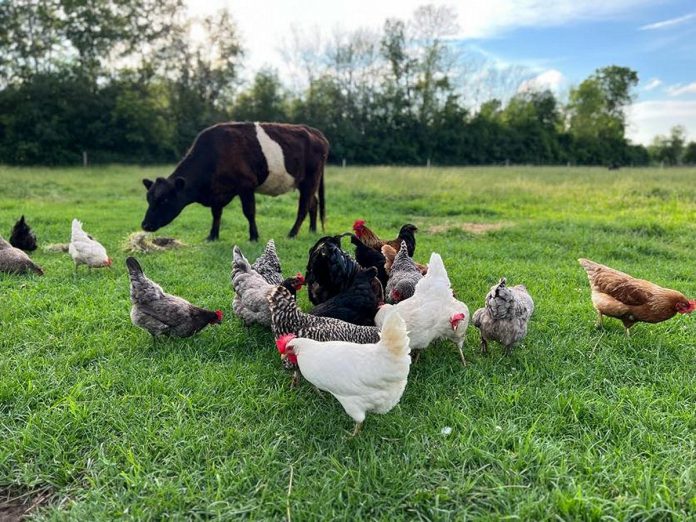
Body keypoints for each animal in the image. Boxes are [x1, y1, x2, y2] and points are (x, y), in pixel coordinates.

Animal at [140, 123, 330, 241]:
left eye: (164, 200)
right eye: (148, 199)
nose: (145, 225)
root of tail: (315, 132)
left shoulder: (246, 186)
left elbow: (249, 212)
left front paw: (254, 237)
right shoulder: (218, 192)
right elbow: (216, 214)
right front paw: (212, 236)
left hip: (310, 180)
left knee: (303, 208)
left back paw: (292, 234)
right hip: (306, 183)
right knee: (313, 203)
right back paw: (312, 231)